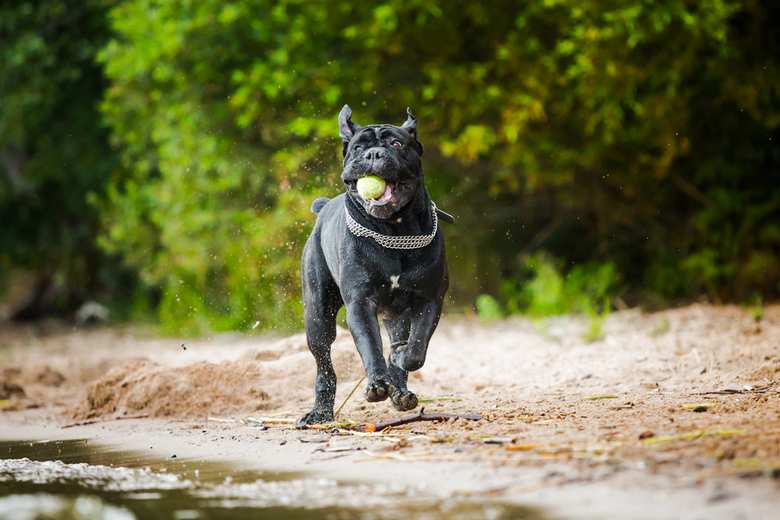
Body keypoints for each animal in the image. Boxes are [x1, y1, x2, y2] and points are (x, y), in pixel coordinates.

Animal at [298, 103, 450, 424]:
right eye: (358, 147)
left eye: (397, 144)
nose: (374, 154)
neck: (394, 232)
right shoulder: (360, 302)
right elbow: (370, 345)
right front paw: (378, 383)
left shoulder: (429, 299)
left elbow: (416, 348)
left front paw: (401, 359)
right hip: (318, 317)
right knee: (324, 365)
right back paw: (320, 411)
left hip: (396, 316)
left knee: (398, 343)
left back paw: (401, 392)